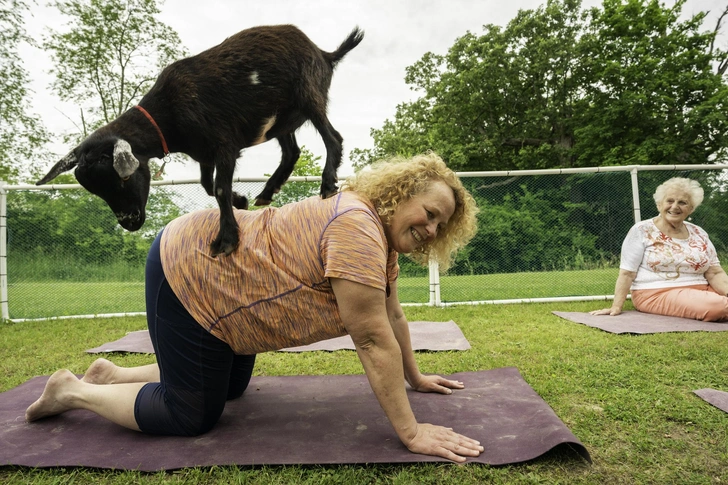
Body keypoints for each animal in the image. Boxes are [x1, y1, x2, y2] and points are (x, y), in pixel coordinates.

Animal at [35, 24, 364, 255]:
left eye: (123, 179)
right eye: (95, 189)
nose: (130, 222)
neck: (168, 113)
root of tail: (325, 54)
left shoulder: (224, 145)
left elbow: (218, 188)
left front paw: (226, 240)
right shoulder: (205, 153)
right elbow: (208, 185)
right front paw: (241, 201)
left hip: (309, 95)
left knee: (333, 137)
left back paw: (327, 184)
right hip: (281, 121)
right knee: (292, 152)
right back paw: (267, 192)